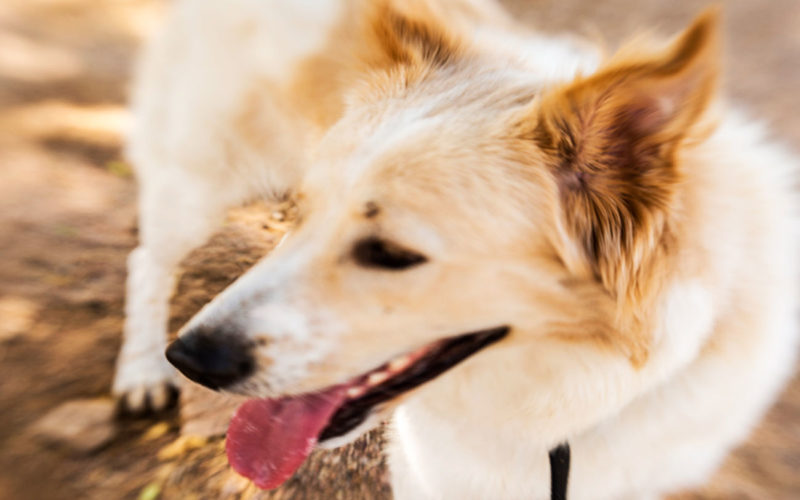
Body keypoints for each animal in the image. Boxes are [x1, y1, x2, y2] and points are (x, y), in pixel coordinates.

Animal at [114, 1, 800, 498]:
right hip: (194, 187)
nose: (190, 359)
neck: (569, 407)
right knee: (147, 263)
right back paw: (140, 373)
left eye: (390, 252)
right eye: (303, 215)